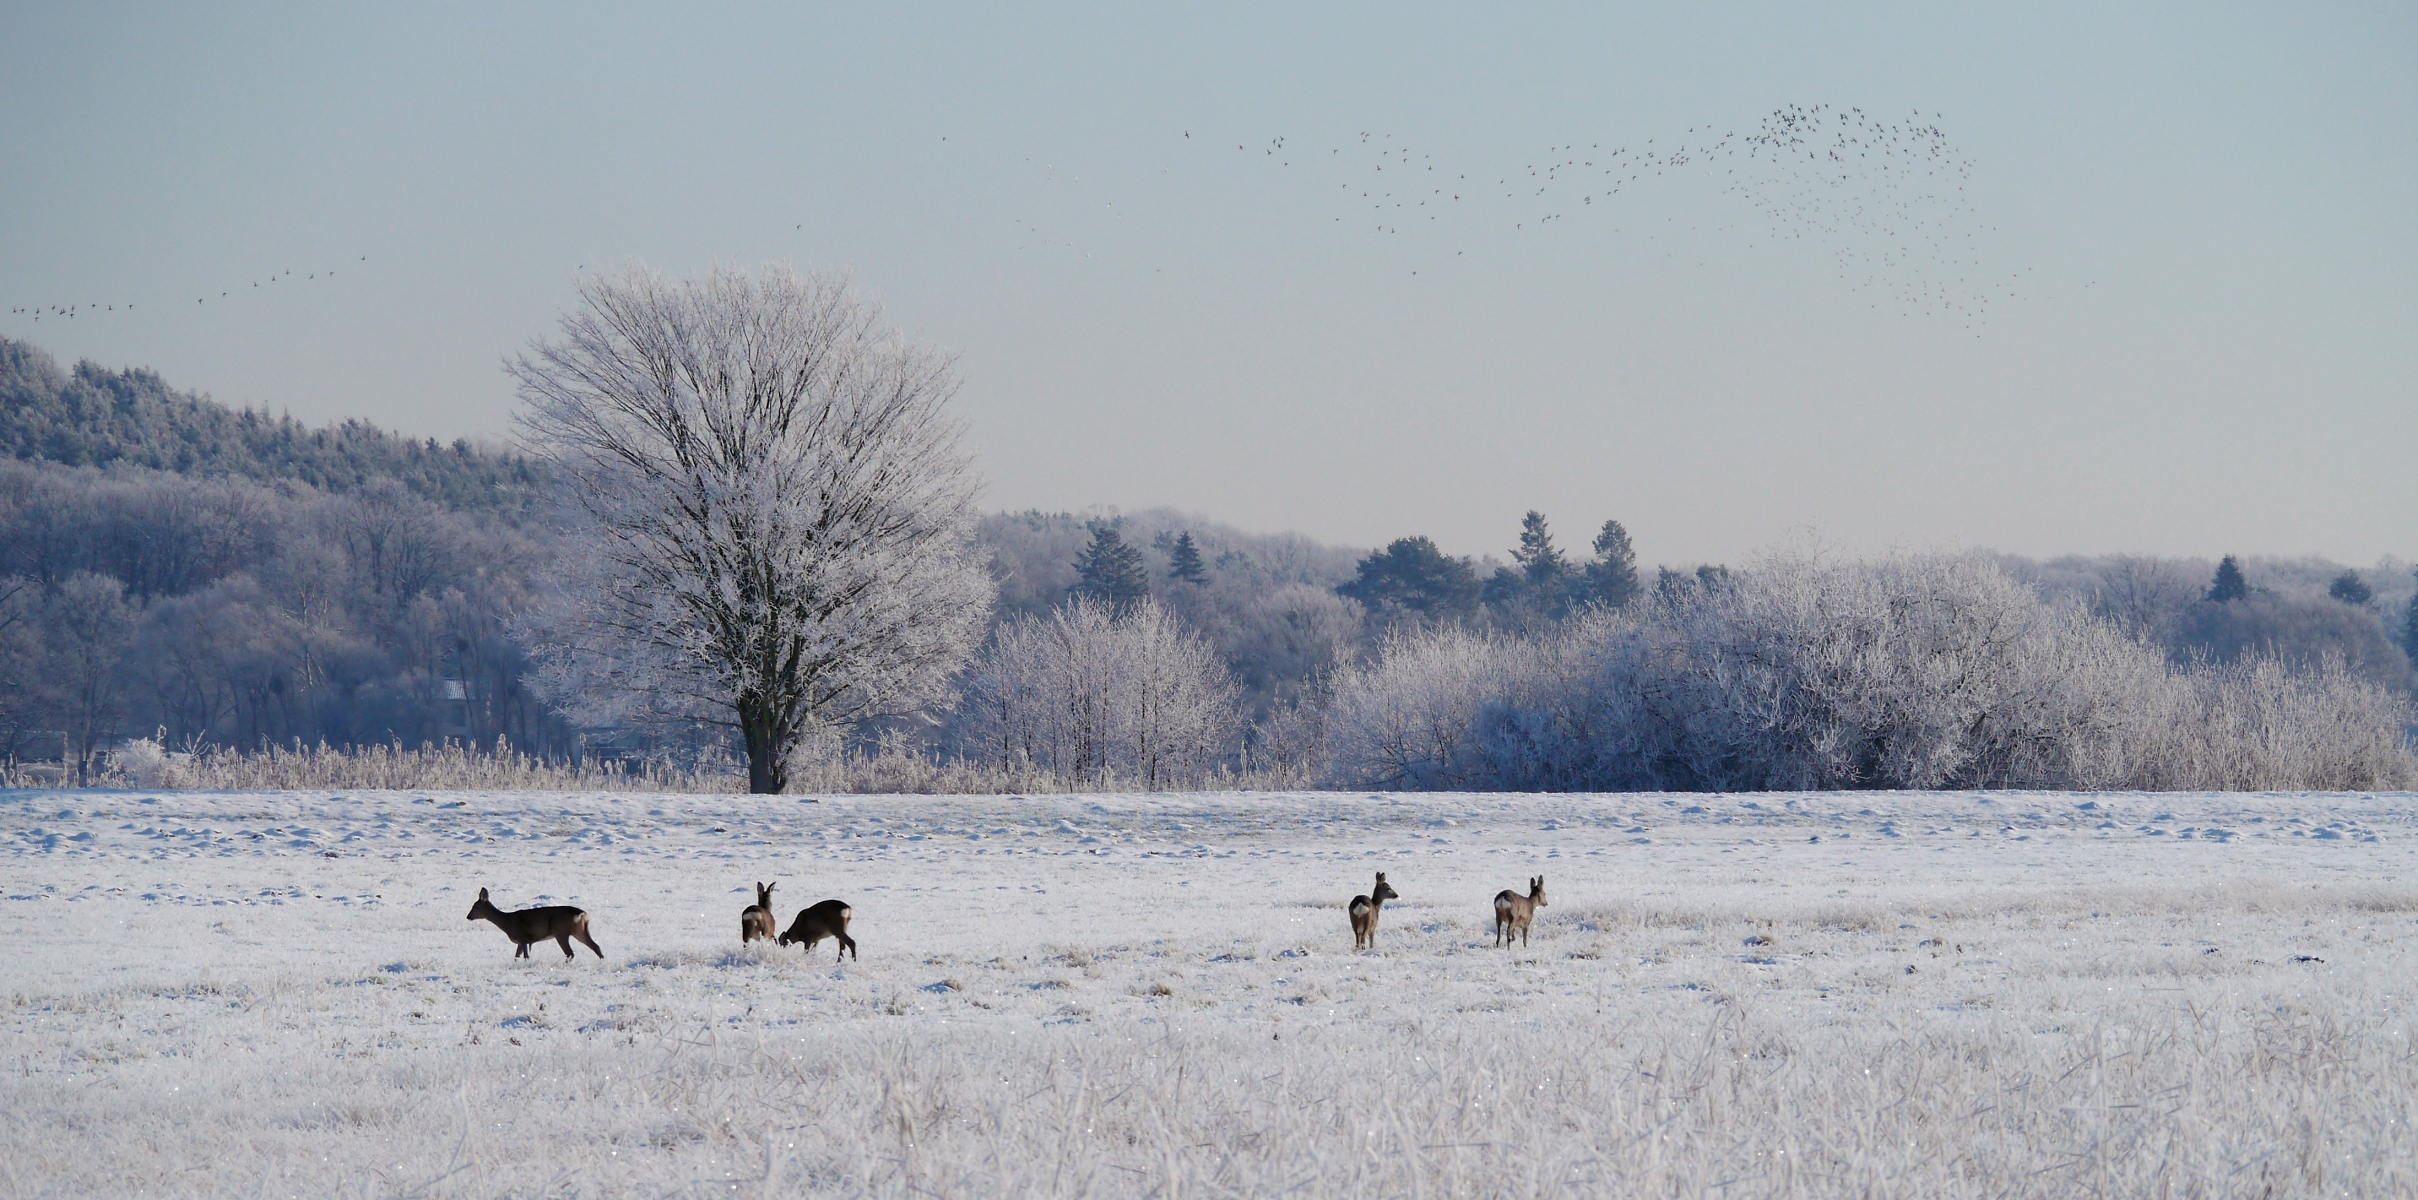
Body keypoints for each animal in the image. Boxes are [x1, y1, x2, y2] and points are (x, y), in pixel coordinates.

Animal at [466, 885, 604, 962]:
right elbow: (516, 957)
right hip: (579, 930)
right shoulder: (520, 942)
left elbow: (526, 956)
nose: (468, 917)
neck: (507, 922)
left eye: (475, 907)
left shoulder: (523, 938)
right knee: (595, 946)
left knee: (570, 953)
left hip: (561, 932)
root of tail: (582, 914)